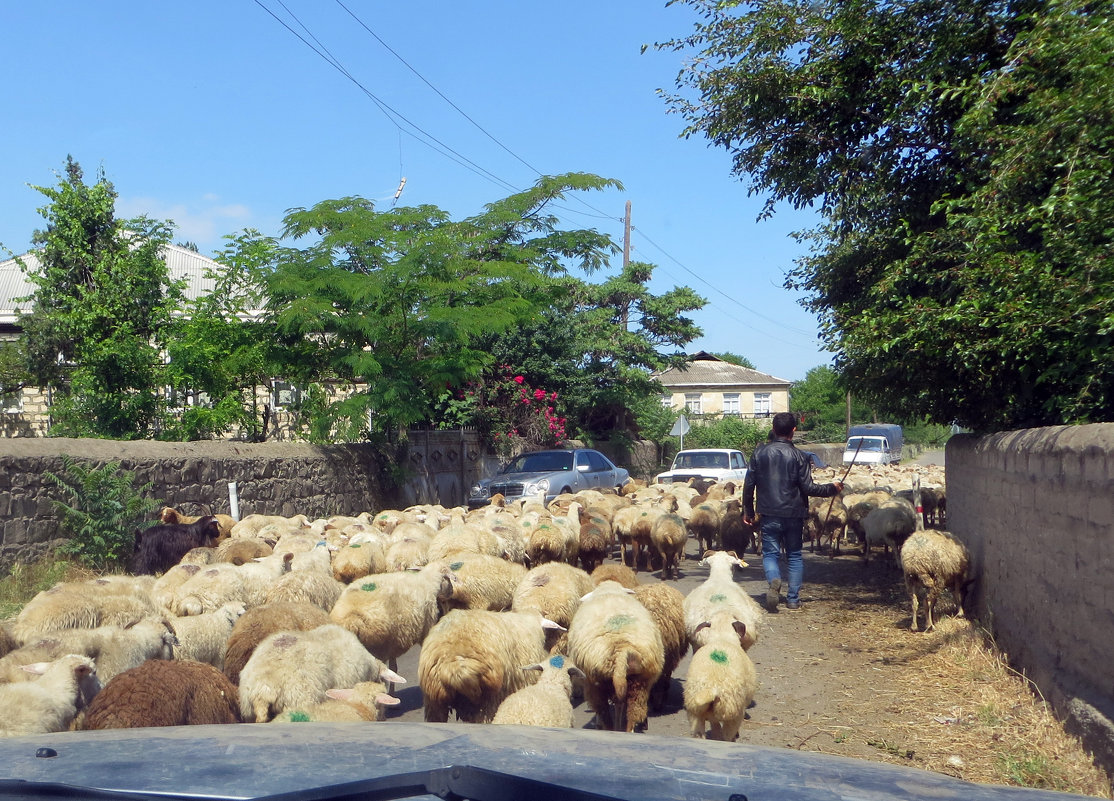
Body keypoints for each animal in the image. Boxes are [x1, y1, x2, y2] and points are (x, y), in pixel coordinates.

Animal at [681, 610, 761, 744]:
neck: (722, 637)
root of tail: (712, 688)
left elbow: (715, 727)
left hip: (694, 713)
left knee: (701, 734)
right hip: (733, 712)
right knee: (727, 736)